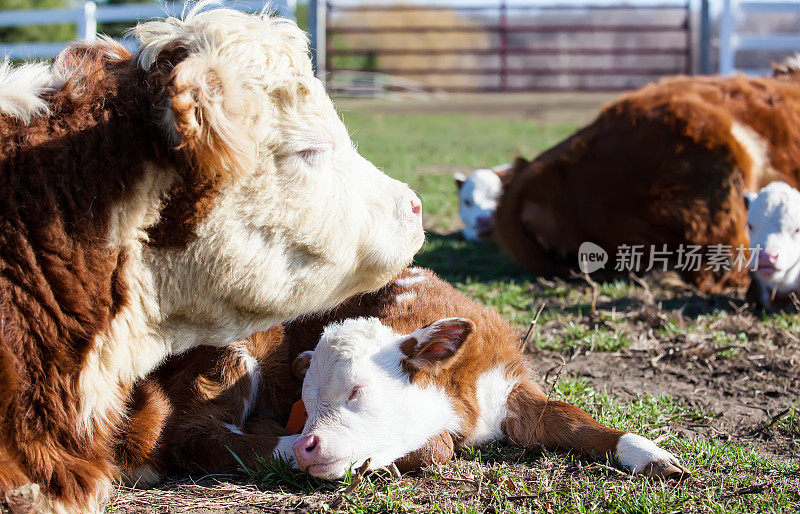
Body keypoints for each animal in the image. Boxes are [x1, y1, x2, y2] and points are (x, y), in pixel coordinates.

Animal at [117, 268, 688, 484]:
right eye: (308, 400)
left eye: (357, 389)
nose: (308, 443)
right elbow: (439, 450)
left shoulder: (512, 391)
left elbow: (571, 419)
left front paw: (651, 453)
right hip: (232, 354)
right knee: (197, 433)